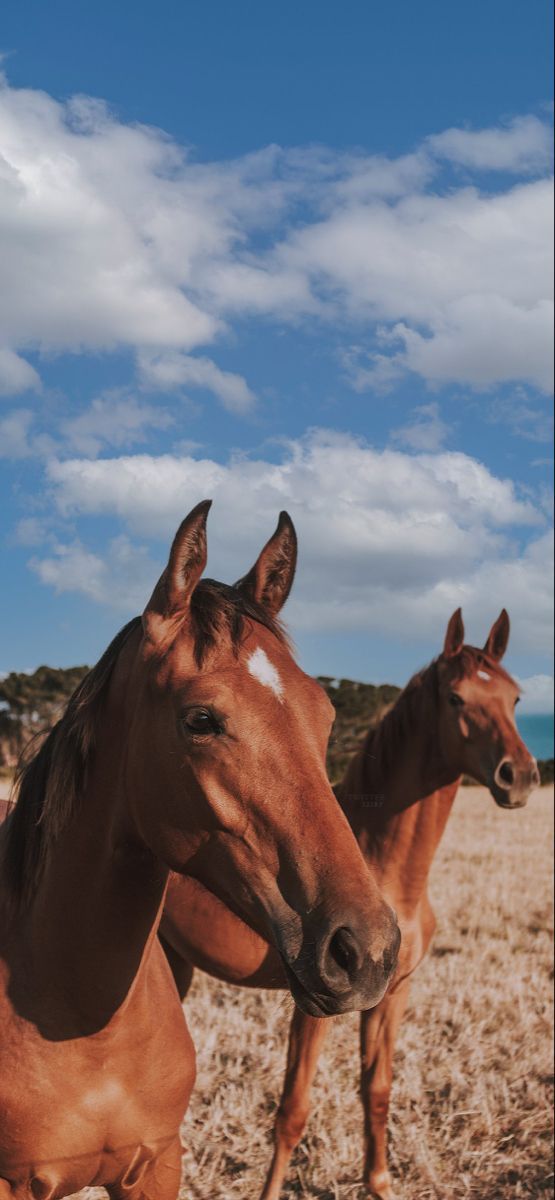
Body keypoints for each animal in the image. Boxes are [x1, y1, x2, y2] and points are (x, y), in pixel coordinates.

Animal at [159, 609, 538, 1200]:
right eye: (456, 699)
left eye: (515, 698)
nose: (518, 777)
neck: (385, 870)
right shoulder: (313, 1008)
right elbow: (293, 1108)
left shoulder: (393, 994)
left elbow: (377, 1091)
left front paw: (378, 1183)